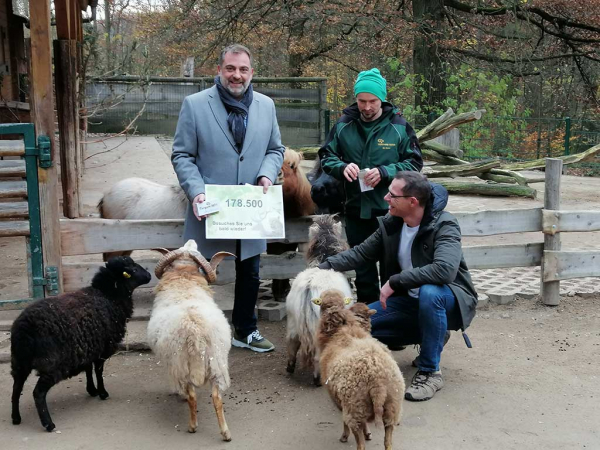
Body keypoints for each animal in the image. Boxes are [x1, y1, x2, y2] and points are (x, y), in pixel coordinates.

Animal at [10, 255, 151, 430]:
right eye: (134, 269)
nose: (150, 275)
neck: (109, 296)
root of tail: (24, 330)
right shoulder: (102, 349)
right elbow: (98, 372)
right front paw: (102, 393)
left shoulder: (88, 347)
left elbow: (88, 369)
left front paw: (91, 390)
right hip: (51, 364)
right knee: (38, 393)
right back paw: (48, 424)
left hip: (19, 362)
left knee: (16, 388)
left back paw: (16, 418)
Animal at [148, 239, 234, 440]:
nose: (192, 240)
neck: (183, 277)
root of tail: (196, 332)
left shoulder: (171, 363)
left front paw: (178, 395)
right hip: (217, 362)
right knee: (216, 398)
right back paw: (225, 433)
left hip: (182, 363)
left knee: (192, 396)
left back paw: (192, 425)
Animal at [284, 214, 354, 384]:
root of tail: (309, 285)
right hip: (318, 325)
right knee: (316, 353)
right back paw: (317, 378)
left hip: (293, 319)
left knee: (292, 342)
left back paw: (290, 367)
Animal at [316, 288, 406, 450]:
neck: (341, 332)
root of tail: (378, 384)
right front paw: (368, 433)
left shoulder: (338, 399)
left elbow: (344, 421)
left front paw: (346, 436)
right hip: (392, 408)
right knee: (388, 441)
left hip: (355, 407)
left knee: (360, 441)